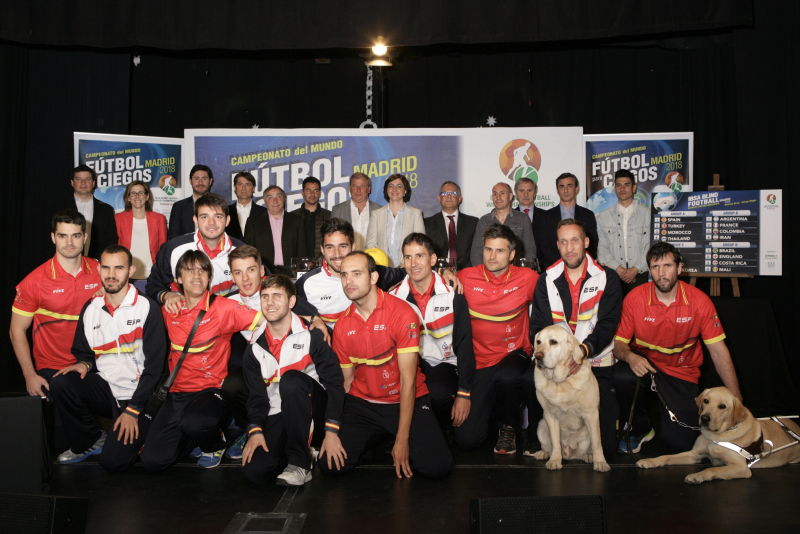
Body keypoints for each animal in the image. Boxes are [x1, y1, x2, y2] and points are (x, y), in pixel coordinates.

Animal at [536, 326, 608, 474]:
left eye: (553, 342)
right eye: (538, 342)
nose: (537, 356)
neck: (560, 382)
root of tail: (569, 453)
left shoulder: (591, 414)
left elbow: (597, 443)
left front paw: (600, 462)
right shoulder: (550, 415)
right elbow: (555, 442)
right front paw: (554, 460)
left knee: (590, 446)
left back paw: (589, 456)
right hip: (541, 425)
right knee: (548, 446)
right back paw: (543, 453)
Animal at [636, 390, 800, 486]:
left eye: (722, 406)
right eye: (706, 401)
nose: (704, 418)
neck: (716, 435)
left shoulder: (741, 468)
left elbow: (710, 469)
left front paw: (697, 476)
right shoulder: (694, 455)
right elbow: (667, 456)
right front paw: (650, 461)